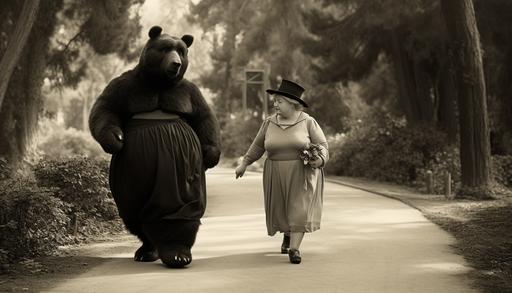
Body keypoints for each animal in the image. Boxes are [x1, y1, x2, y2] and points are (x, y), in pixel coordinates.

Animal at [89, 26, 220, 268]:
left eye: (182, 51)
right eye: (165, 49)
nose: (176, 63)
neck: (160, 83)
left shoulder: (186, 92)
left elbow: (204, 117)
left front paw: (211, 155)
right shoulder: (127, 85)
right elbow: (105, 108)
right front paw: (115, 138)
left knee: (180, 205)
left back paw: (176, 251)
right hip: (129, 181)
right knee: (132, 212)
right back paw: (148, 249)